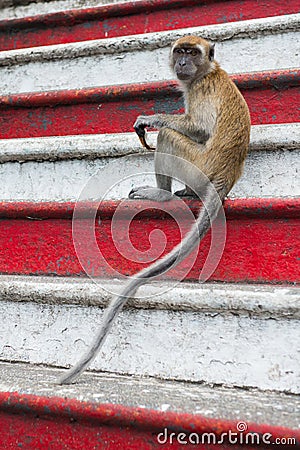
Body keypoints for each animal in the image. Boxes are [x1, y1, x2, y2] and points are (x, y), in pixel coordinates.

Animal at [58, 35, 251, 384]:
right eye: (180, 51)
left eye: (192, 53)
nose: (182, 63)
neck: (207, 72)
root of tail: (225, 178)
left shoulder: (201, 90)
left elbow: (198, 129)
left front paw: (150, 119)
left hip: (197, 166)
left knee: (170, 137)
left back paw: (160, 193)